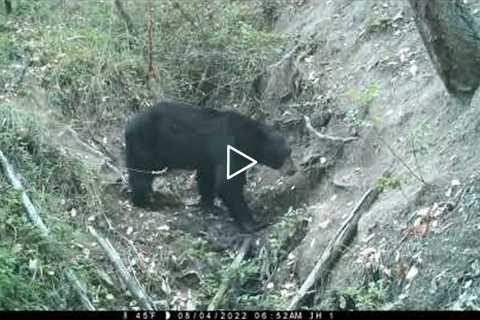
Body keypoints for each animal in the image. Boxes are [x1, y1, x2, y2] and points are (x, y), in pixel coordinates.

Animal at [124, 101, 296, 231]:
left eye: (290, 152)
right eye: (285, 154)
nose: (294, 169)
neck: (249, 140)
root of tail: (129, 125)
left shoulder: (209, 158)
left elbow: (207, 177)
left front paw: (210, 206)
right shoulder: (229, 148)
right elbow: (228, 184)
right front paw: (253, 223)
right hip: (144, 145)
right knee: (141, 175)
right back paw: (144, 202)